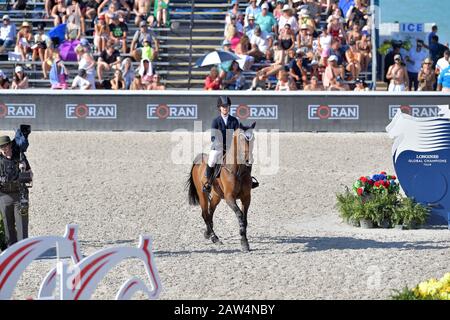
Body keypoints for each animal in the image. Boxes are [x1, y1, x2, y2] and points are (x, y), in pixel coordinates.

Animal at [186, 122, 256, 252]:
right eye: (240, 139)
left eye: (253, 138)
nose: (248, 160)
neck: (238, 170)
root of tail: (198, 160)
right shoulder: (229, 198)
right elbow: (240, 215)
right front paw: (243, 242)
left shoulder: (246, 198)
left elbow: (244, 219)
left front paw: (245, 241)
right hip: (202, 194)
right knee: (205, 214)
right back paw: (215, 238)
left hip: (216, 196)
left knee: (210, 212)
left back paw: (208, 234)